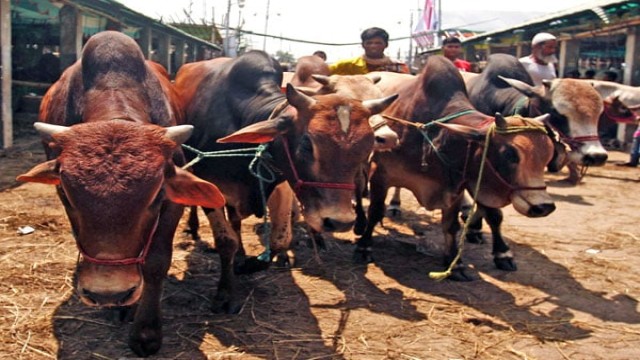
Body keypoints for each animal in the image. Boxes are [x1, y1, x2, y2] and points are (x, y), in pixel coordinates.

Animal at [15, 31, 225, 358]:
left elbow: (155, 261)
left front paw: (146, 332)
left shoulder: (171, 203)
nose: (107, 292)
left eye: (155, 197)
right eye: (68, 195)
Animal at [172, 50, 398, 312]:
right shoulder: (210, 184)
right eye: (307, 144)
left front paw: (248, 264)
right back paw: (193, 228)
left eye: (365, 148)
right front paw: (225, 293)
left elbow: (280, 240)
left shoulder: (281, 186)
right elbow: (225, 240)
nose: (339, 222)